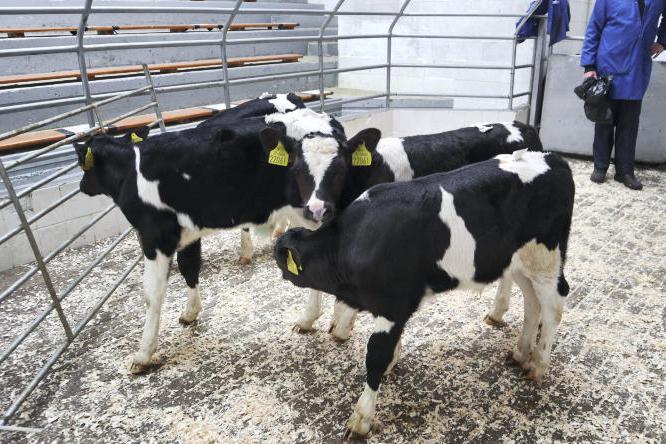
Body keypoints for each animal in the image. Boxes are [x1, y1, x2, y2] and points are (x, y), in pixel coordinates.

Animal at [73, 112, 316, 374]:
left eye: (83, 164)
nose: (81, 186)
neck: (130, 172)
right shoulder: (188, 233)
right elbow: (189, 267)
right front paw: (190, 313)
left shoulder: (155, 237)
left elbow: (152, 294)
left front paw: (143, 354)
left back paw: (313, 320)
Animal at [260, 120, 544, 339]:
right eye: (298, 169)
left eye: (339, 169)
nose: (318, 209)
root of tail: (522, 125)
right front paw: (309, 320)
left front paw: (342, 327)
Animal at [274, 150, 575, 438]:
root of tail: (553, 158)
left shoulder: (392, 305)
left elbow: (375, 357)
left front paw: (361, 418)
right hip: (520, 261)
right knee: (532, 303)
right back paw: (521, 353)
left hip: (547, 258)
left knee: (553, 307)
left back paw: (538, 365)